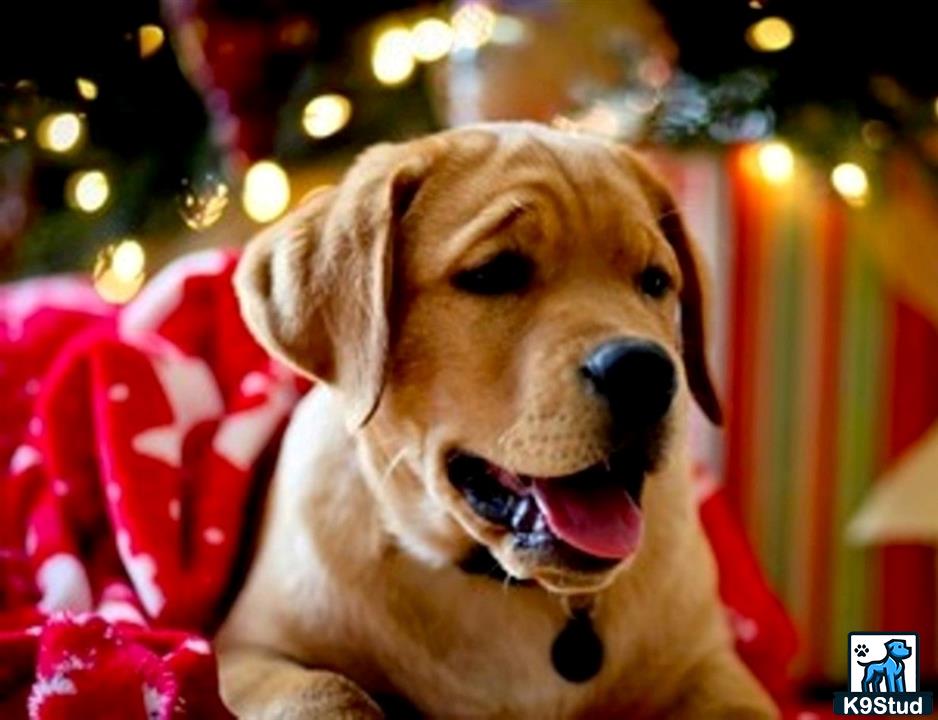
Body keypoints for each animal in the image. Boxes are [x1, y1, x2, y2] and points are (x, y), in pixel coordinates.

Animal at [214, 121, 776, 716]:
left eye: (654, 281)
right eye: (494, 273)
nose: (644, 373)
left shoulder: (711, 664)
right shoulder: (241, 648)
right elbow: (325, 687)